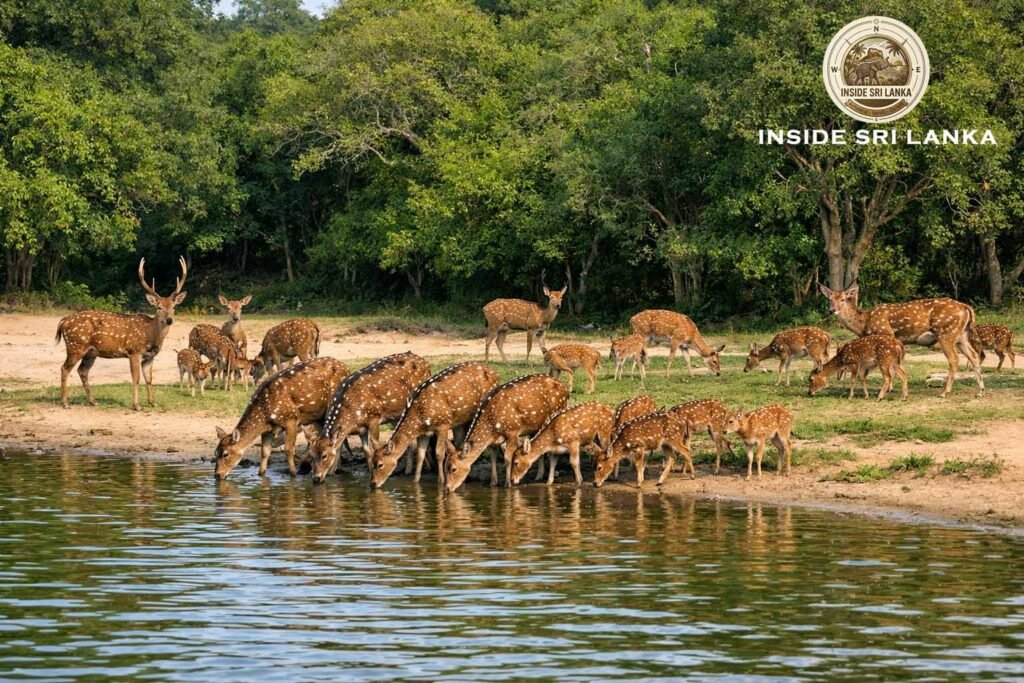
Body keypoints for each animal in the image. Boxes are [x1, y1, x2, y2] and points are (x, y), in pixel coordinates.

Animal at [56, 257, 187, 410]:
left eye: (174, 307)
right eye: (158, 307)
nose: (169, 320)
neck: (150, 336)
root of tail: (64, 321)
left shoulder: (149, 356)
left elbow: (149, 379)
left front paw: (153, 402)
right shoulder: (134, 351)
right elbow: (136, 379)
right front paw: (136, 405)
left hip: (90, 352)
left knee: (82, 371)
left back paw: (93, 401)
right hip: (75, 345)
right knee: (64, 369)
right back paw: (65, 403)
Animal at [213, 357, 351, 480]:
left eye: (225, 454)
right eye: (215, 452)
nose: (217, 475)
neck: (265, 414)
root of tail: (346, 368)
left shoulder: (291, 419)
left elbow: (288, 449)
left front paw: (293, 474)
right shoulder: (268, 430)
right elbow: (264, 452)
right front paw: (261, 474)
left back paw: (333, 469)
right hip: (318, 416)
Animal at [309, 352, 431, 484]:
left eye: (324, 455)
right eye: (311, 455)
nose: (316, 478)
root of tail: (426, 363)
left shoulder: (374, 418)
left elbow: (374, 447)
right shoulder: (361, 428)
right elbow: (367, 451)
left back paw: (410, 470)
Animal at [369, 362, 500, 489]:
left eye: (380, 464)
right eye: (372, 462)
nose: (373, 484)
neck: (419, 417)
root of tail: (495, 373)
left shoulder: (443, 424)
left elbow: (439, 453)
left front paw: (440, 481)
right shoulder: (424, 433)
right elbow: (420, 455)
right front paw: (415, 481)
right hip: (459, 421)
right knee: (459, 443)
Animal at [819, 283, 983, 397]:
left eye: (843, 299)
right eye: (830, 299)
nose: (831, 310)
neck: (864, 324)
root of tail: (966, 307)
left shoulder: (886, 333)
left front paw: (889, 389)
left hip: (946, 333)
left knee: (954, 359)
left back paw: (944, 392)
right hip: (961, 336)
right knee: (973, 356)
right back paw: (980, 391)